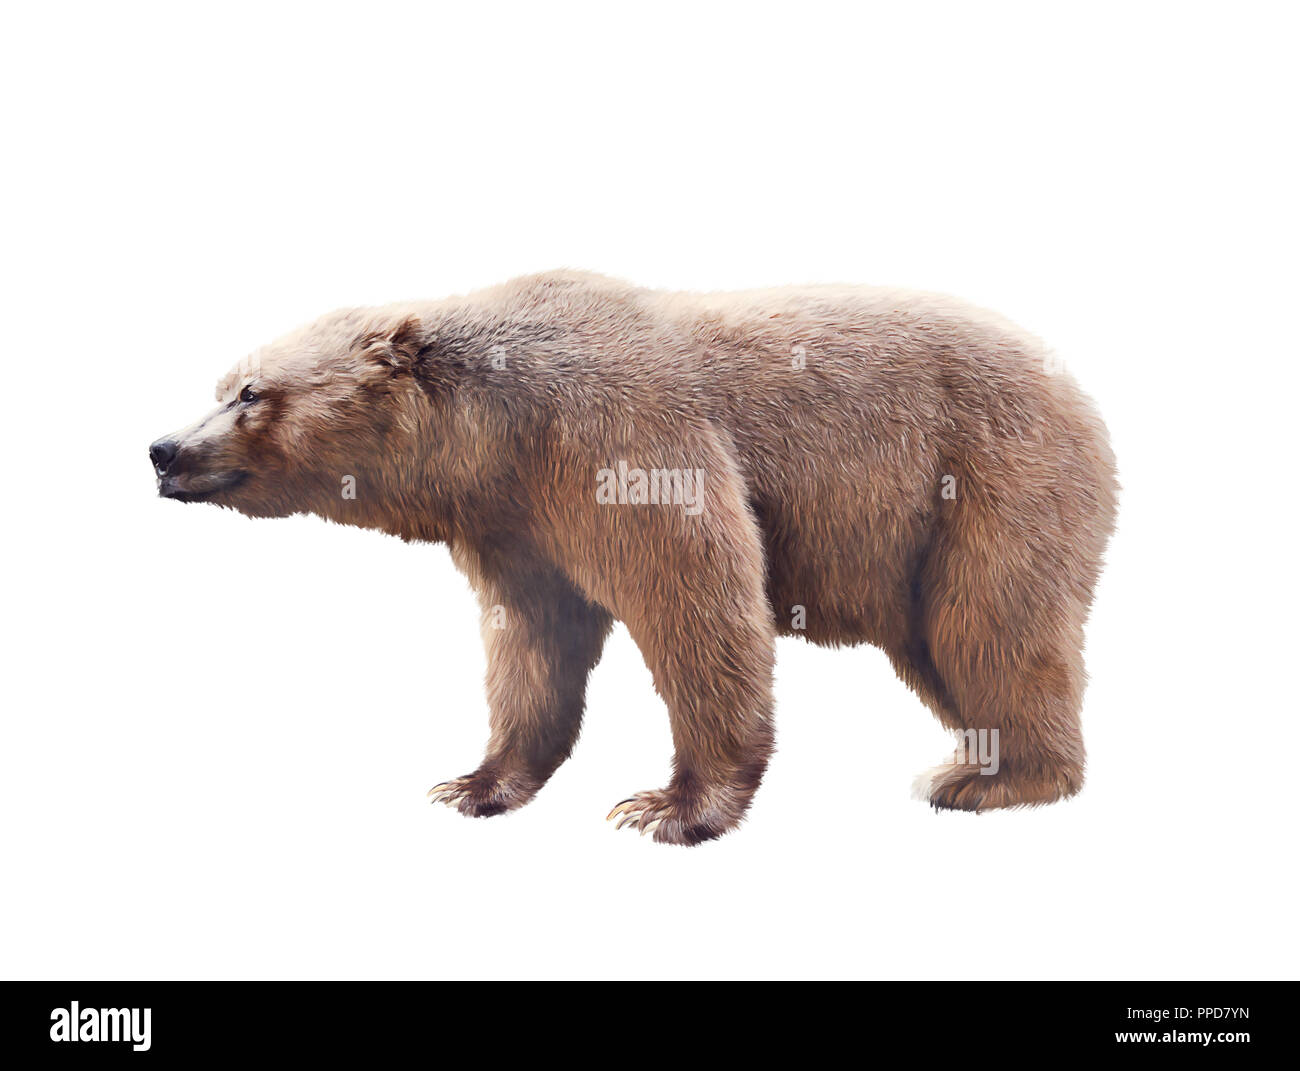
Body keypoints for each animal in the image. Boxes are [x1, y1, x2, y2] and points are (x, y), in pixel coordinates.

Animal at [150, 270, 1117, 845]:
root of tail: (1078, 388)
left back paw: (998, 778)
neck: (499, 435)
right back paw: (977, 762)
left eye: (250, 392)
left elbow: (700, 601)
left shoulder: (621, 440)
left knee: (990, 624)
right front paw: (475, 783)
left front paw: (667, 806)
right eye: (221, 382)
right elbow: (533, 644)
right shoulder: (514, 525)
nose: (164, 449)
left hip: (989, 478)